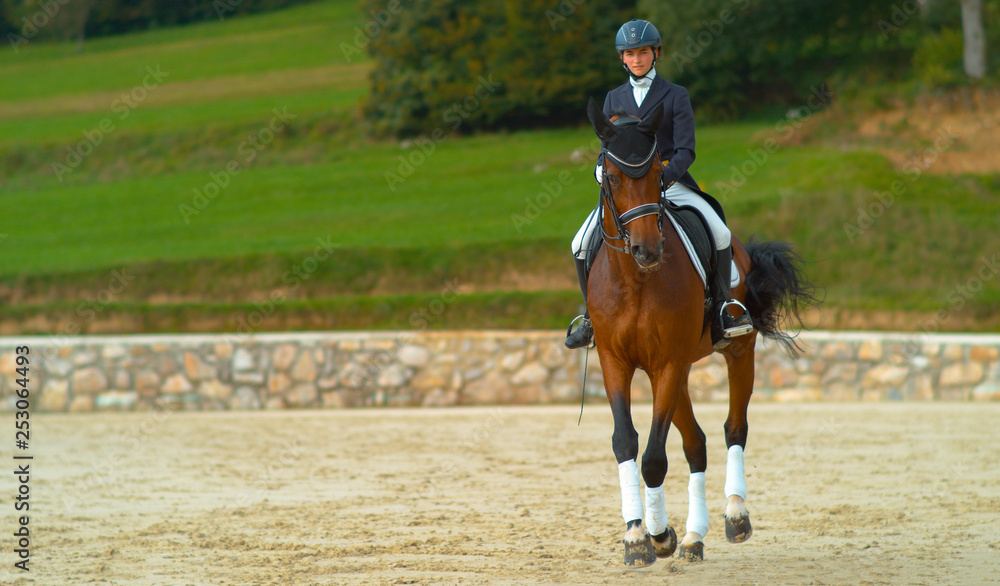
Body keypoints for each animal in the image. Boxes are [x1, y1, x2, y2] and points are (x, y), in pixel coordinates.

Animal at [584, 99, 816, 564]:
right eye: (612, 176)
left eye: (658, 174)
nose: (647, 249)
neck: (635, 279)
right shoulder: (615, 361)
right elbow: (626, 442)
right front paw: (638, 534)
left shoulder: (669, 361)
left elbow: (654, 457)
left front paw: (656, 536)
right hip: (677, 374)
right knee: (696, 443)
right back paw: (692, 536)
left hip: (734, 354)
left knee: (734, 428)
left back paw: (735, 516)